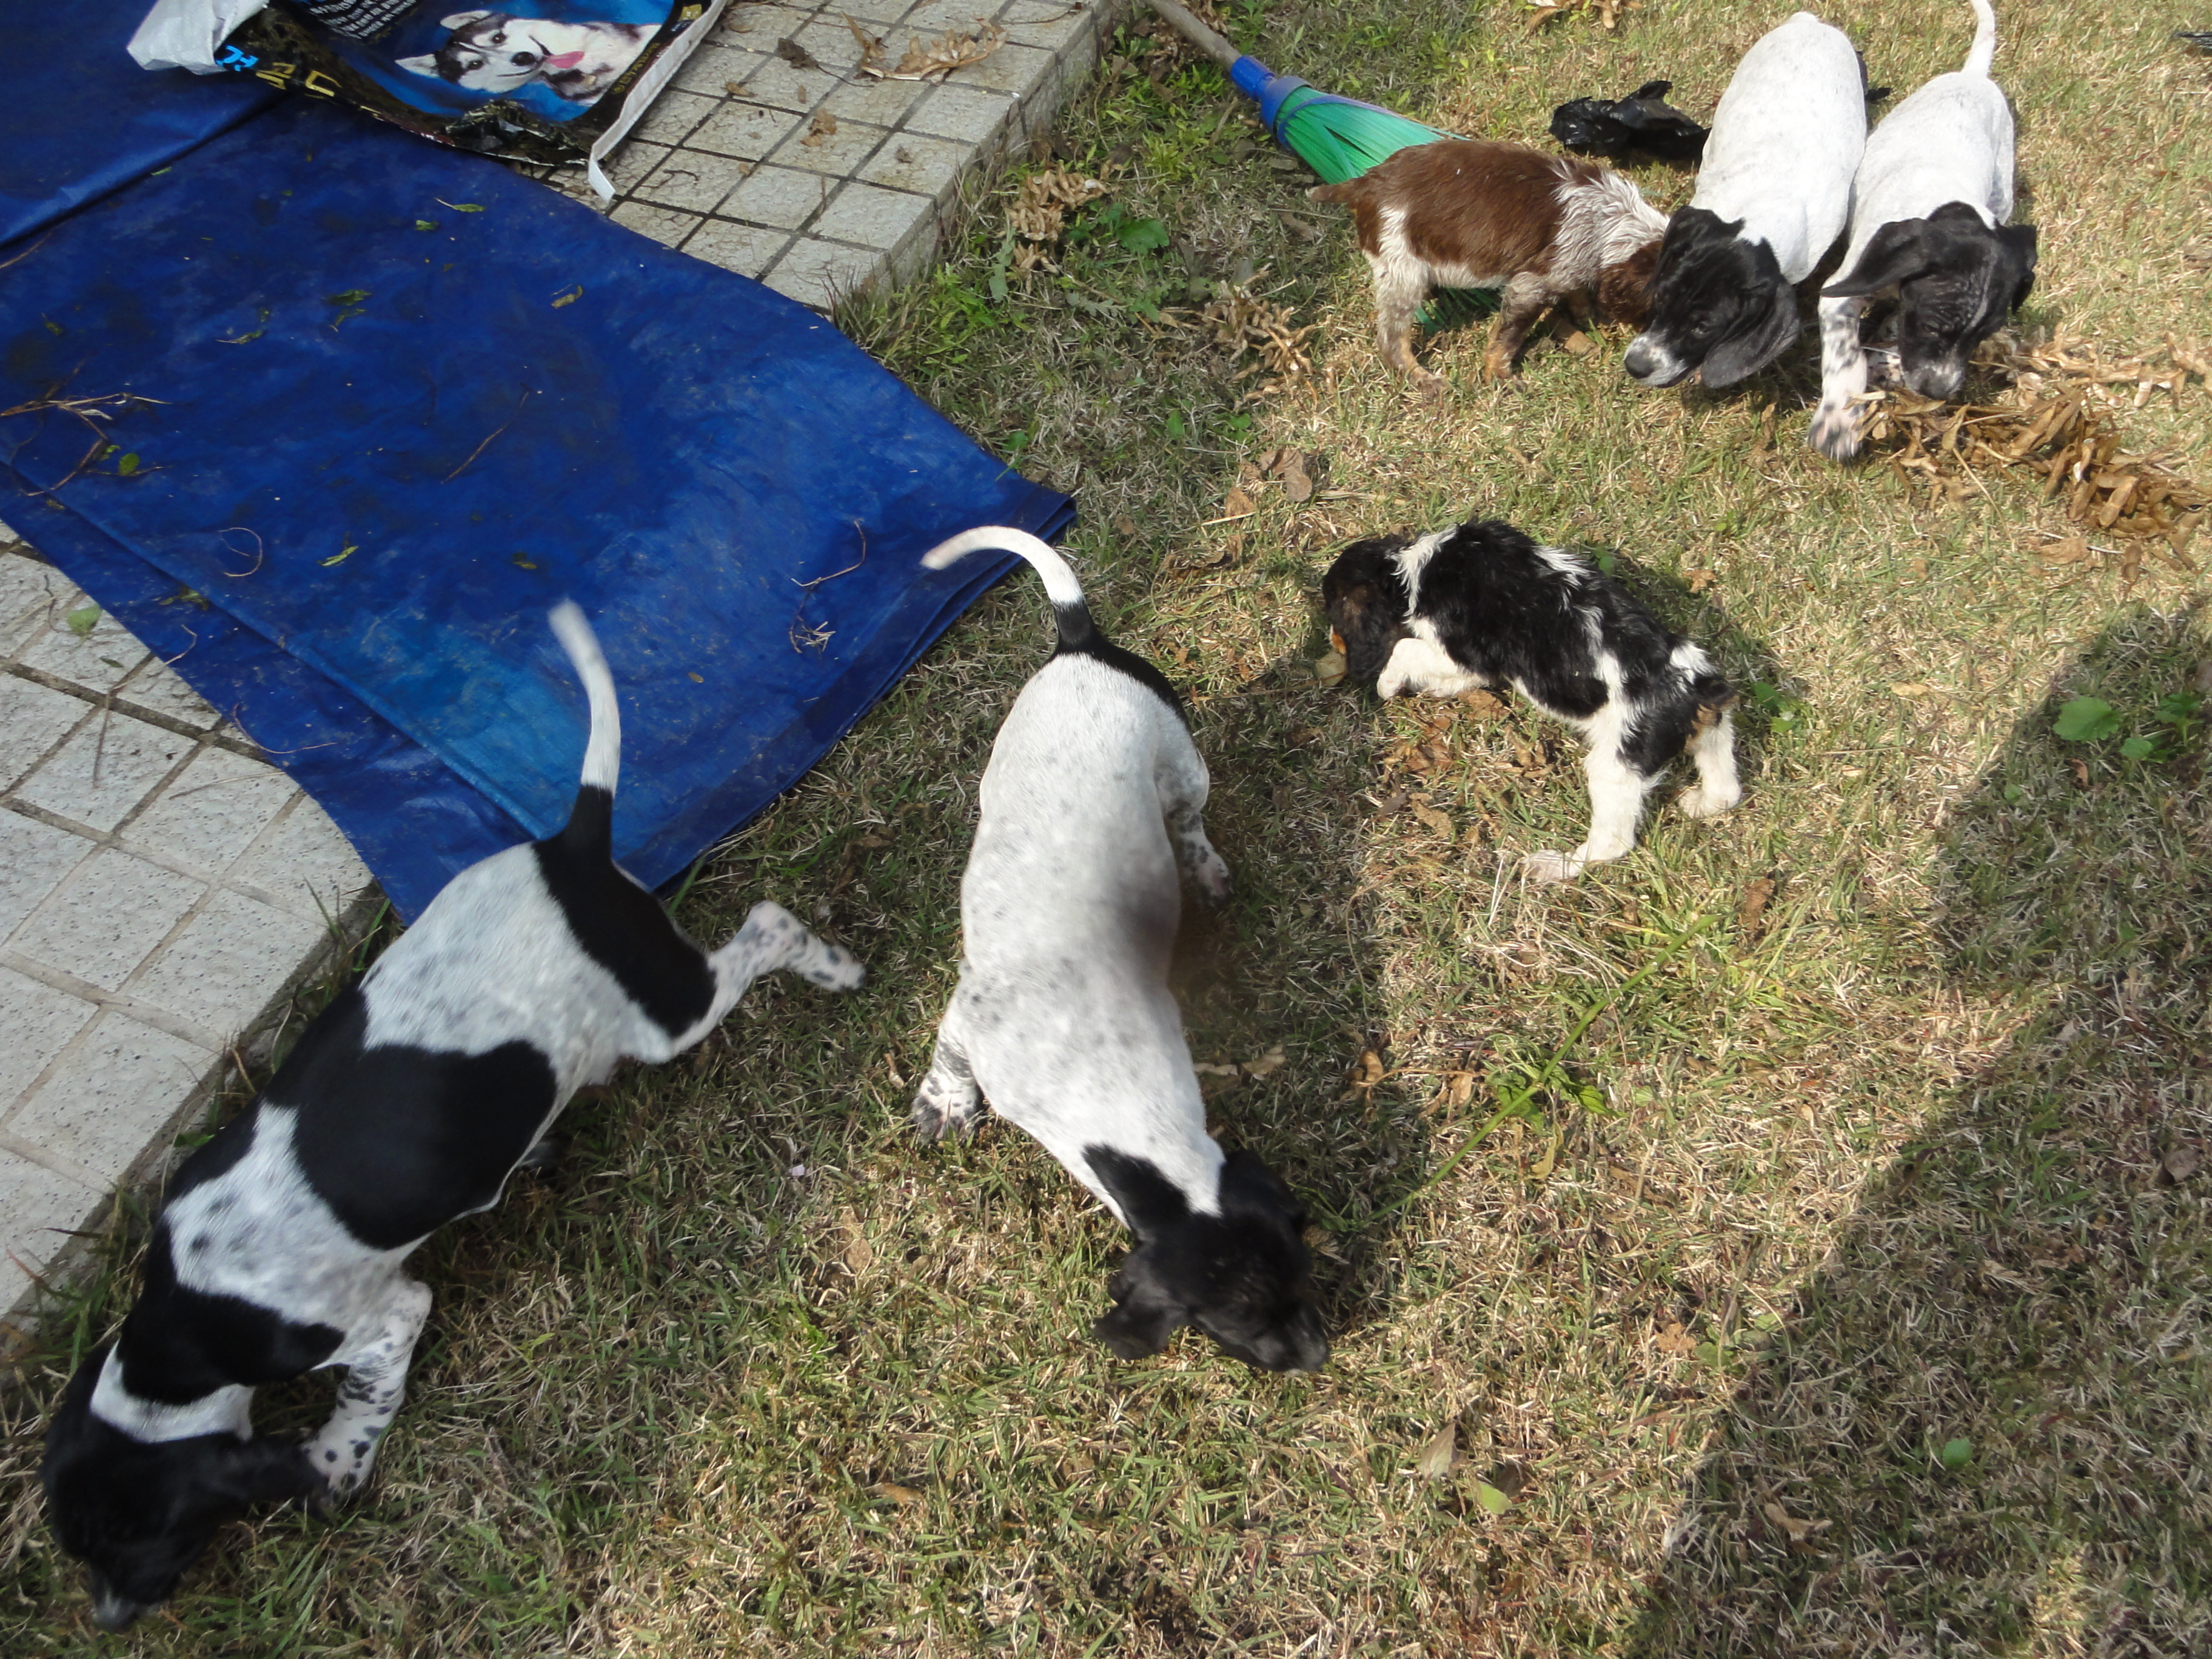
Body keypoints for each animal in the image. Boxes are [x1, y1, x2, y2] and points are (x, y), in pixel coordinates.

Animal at [41, 604, 863, 1631]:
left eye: (147, 1539)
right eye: (79, 1547)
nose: (109, 1621)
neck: (187, 1323)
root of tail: (568, 848)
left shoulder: (385, 1317)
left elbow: (365, 1397)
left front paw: (334, 1464)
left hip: (668, 1010)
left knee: (766, 927)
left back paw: (829, 964)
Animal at [910, 527, 1328, 1374]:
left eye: (1302, 1276)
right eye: (1238, 1325)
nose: (1320, 1356)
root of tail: (1081, 645)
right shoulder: (970, 1016)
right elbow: (949, 1058)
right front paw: (945, 1103)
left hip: (1182, 766)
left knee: (1189, 821)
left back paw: (1204, 868)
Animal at [1309, 140, 1669, 388]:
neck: (1613, 220)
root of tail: (1365, 183)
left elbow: (1578, 292)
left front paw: (1592, 317)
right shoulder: (1530, 286)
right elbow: (1507, 338)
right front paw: (1500, 376)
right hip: (1403, 269)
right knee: (1391, 339)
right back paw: (1424, 380)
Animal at [1323, 518, 1740, 881]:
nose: (1331, 640)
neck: (1412, 569)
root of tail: (1695, 689)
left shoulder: (1460, 651)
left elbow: (1405, 649)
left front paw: (1387, 684)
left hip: (1617, 763)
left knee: (1612, 843)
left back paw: (1556, 866)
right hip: (1712, 732)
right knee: (1727, 788)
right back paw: (1702, 803)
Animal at [1808, 0, 2036, 460]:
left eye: (1982, 337)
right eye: (1932, 327)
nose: (1938, 392)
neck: (1948, 203)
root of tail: (1973, 76)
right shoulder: (1843, 291)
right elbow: (1847, 358)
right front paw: (1840, 420)